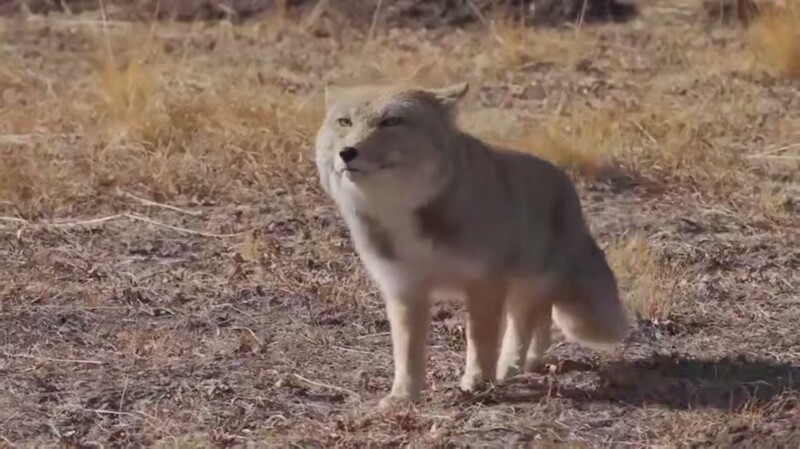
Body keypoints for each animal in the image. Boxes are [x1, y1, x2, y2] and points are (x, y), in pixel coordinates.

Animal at [314, 81, 629, 408]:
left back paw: (509, 366)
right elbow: (407, 354)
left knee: (524, 328)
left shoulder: (483, 283)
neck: (404, 211)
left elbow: (480, 341)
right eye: (345, 122)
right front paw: (403, 396)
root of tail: (567, 185)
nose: (347, 152)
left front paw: (477, 382)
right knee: (540, 323)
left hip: (524, 288)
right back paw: (527, 363)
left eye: (391, 121)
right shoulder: (405, 288)